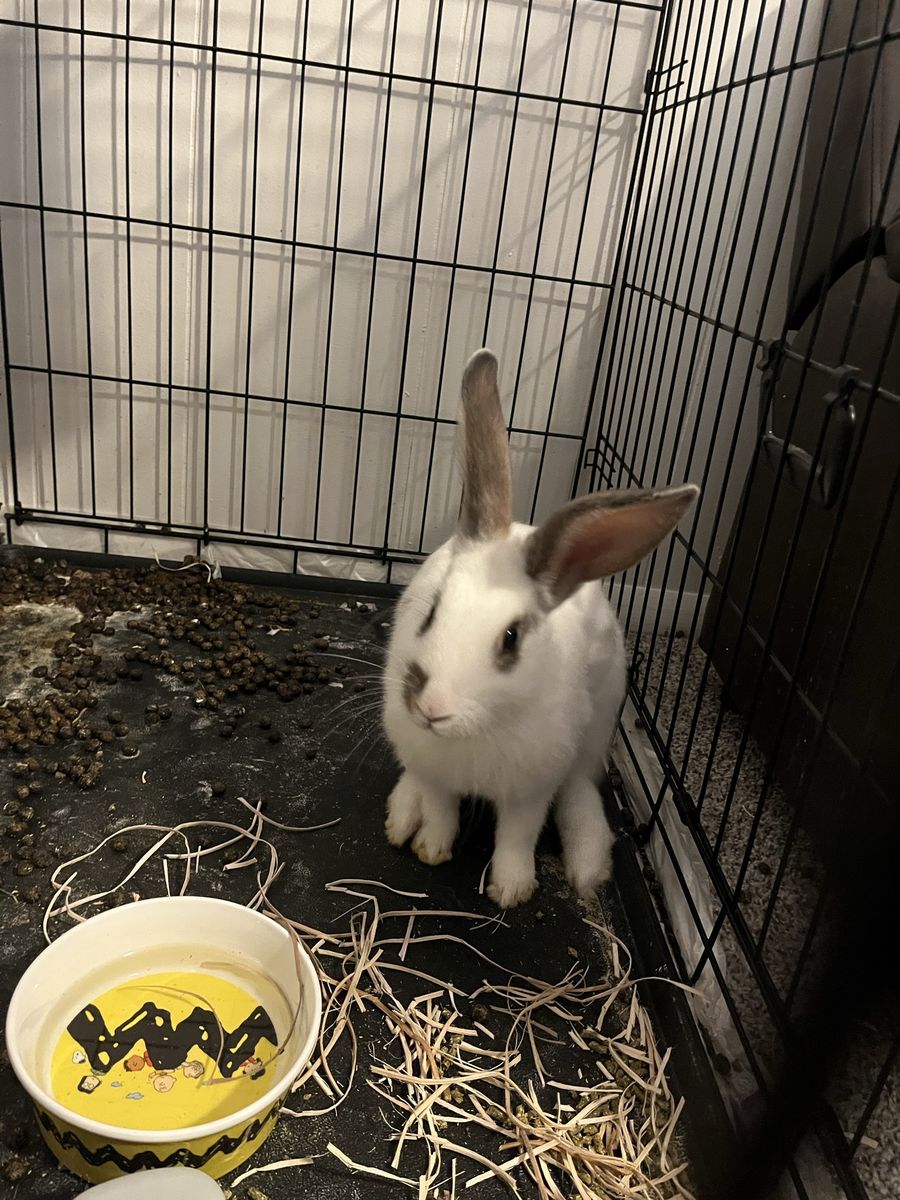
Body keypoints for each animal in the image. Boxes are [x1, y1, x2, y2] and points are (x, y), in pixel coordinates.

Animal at [382, 348, 698, 908]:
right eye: (432, 612)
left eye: (511, 639)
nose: (432, 708)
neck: (474, 731)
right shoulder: (436, 770)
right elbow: (441, 809)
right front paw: (432, 849)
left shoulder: (531, 789)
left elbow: (517, 835)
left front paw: (511, 890)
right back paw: (402, 814)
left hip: (594, 728)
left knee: (580, 787)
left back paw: (589, 865)